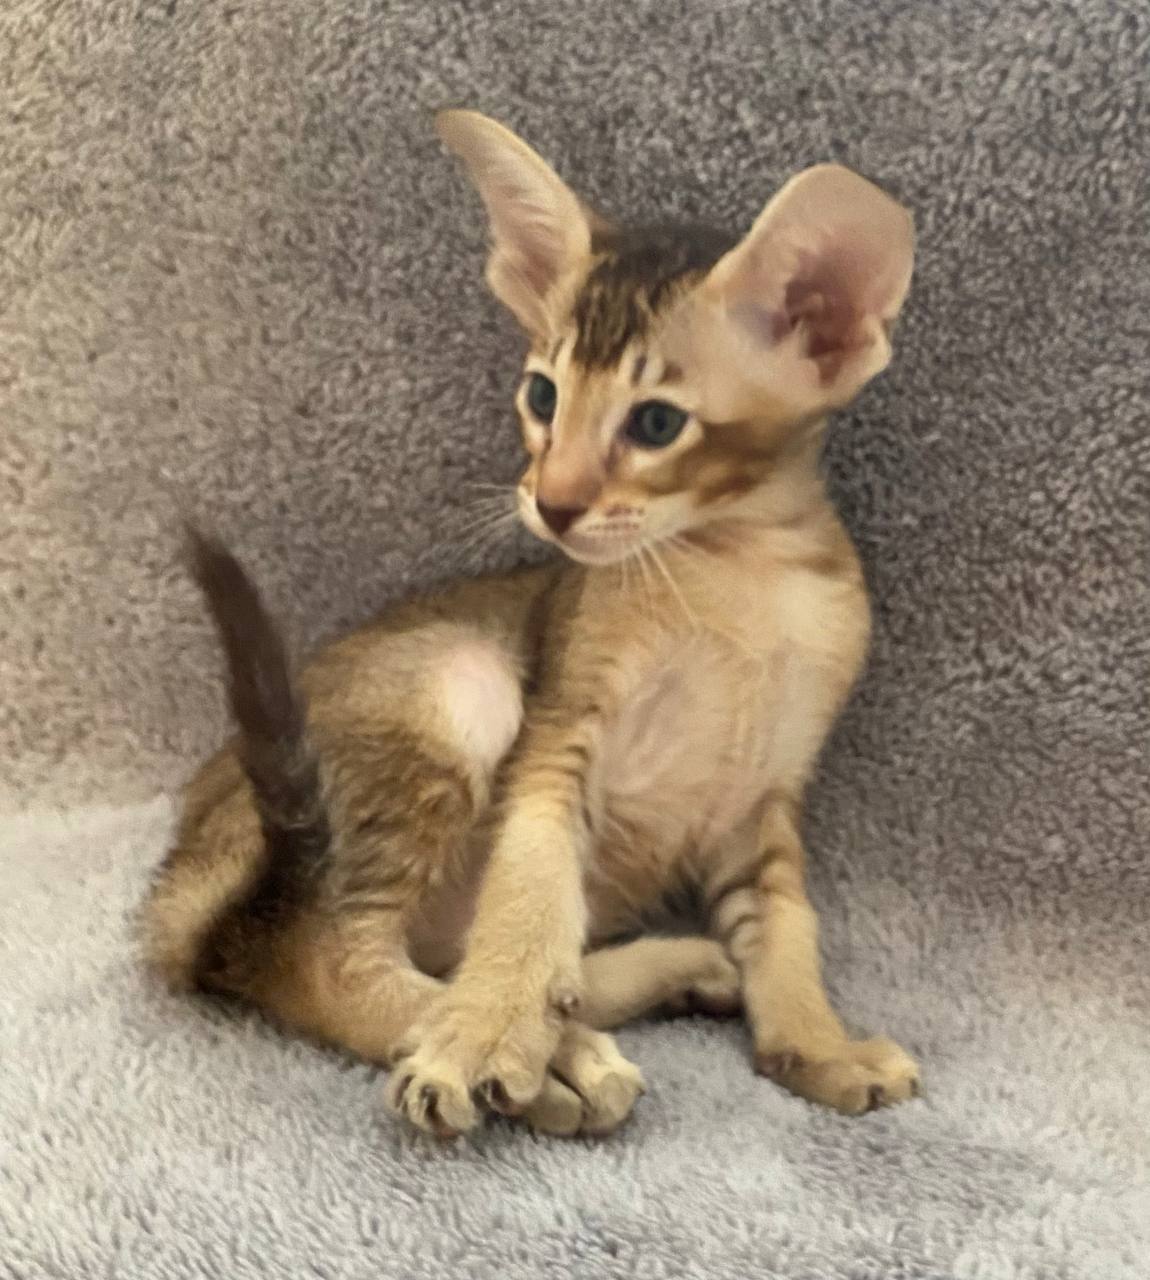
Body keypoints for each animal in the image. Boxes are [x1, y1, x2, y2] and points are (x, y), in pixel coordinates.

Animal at [142, 110, 919, 1138]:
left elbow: (789, 928)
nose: (552, 504)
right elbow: (531, 886)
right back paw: (536, 1049)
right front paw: (485, 1032)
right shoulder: (560, 729)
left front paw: (820, 1046)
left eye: (657, 423)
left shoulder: (767, 801)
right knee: (325, 957)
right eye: (543, 396)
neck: (738, 574)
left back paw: (644, 990)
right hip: (455, 683)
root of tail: (183, 872)